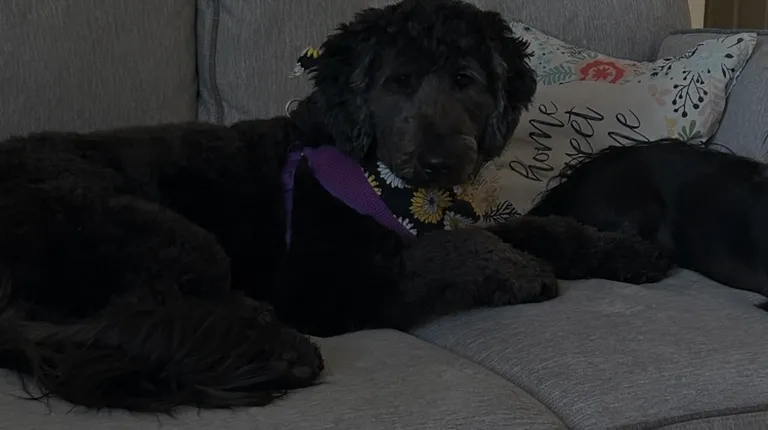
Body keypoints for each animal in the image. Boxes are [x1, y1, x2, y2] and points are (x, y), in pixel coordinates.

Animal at [0, 0, 672, 412]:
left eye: (465, 80)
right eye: (397, 83)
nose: (440, 160)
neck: (385, 182)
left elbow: (533, 226)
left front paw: (619, 249)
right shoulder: (326, 285)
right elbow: (447, 252)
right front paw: (514, 270)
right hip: (153, 227)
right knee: (142, 315)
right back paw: (279, 353)